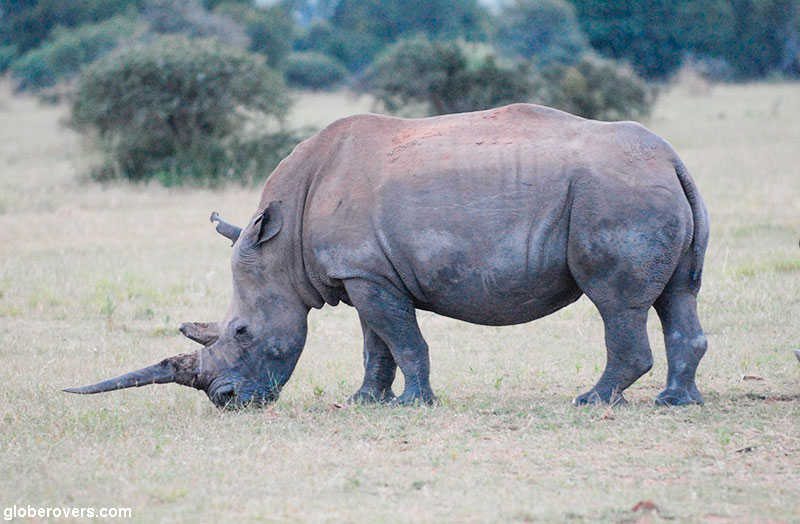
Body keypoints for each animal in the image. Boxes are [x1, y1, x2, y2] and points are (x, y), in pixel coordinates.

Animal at [65, 103, 709, 408]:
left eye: (242, 331)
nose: (226, 402)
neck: (284, 242)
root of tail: (671, 158)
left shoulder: (368, 274)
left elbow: (402, 338)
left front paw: (412, 405)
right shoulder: (361, 273)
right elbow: (376, 344)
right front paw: (365, 402)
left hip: (616, 194)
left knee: (616, 303)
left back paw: (590, 401)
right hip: (646, 186)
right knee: (678, 294)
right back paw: (675, 403)